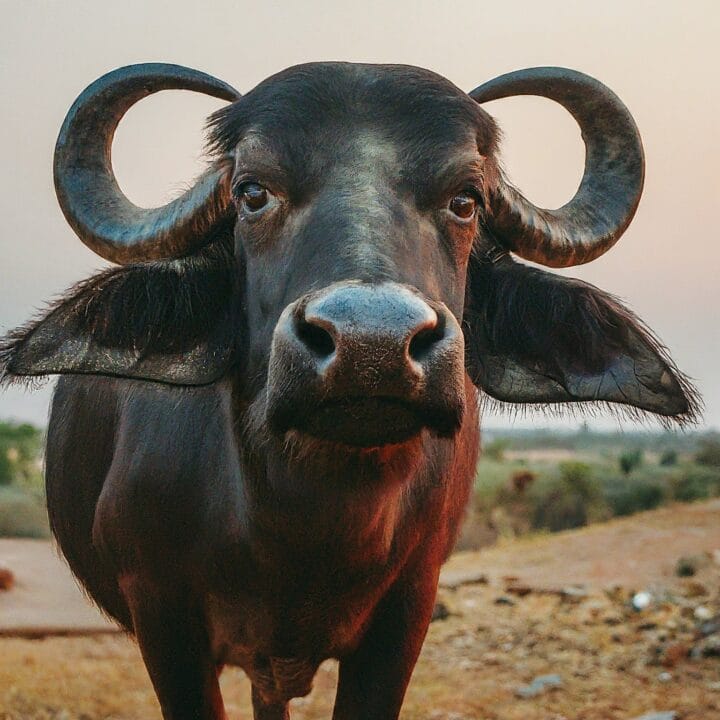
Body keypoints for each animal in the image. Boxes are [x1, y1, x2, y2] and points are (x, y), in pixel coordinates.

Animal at [0, 62, 698, 719]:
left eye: (466, 200)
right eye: (252, 192)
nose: (373, 345)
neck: (301, 533)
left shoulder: (407, 613)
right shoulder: (161, 616)